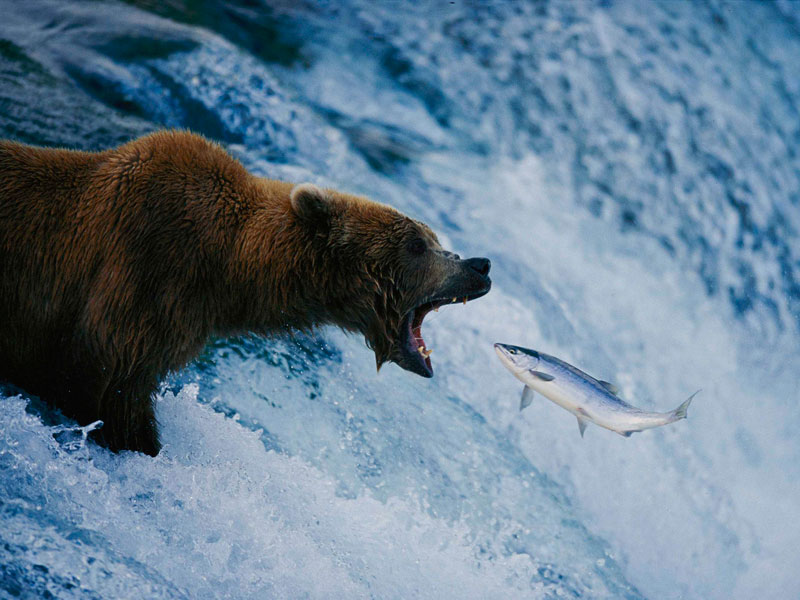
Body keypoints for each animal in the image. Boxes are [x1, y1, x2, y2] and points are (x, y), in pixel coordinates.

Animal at [0, 131, 488, 458]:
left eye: (432, 237)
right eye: (417, 244)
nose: (478, 265)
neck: (228, 265)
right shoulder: (137, 281)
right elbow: (108, 391)